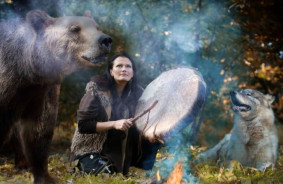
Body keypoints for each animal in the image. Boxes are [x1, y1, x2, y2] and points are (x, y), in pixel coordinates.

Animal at [0, 9, 112, 183]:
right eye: (75, 29)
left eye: (96, 26)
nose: (105, 40)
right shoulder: (11, 86)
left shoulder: (42, 91)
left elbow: (39, 131)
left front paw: (44, 176)